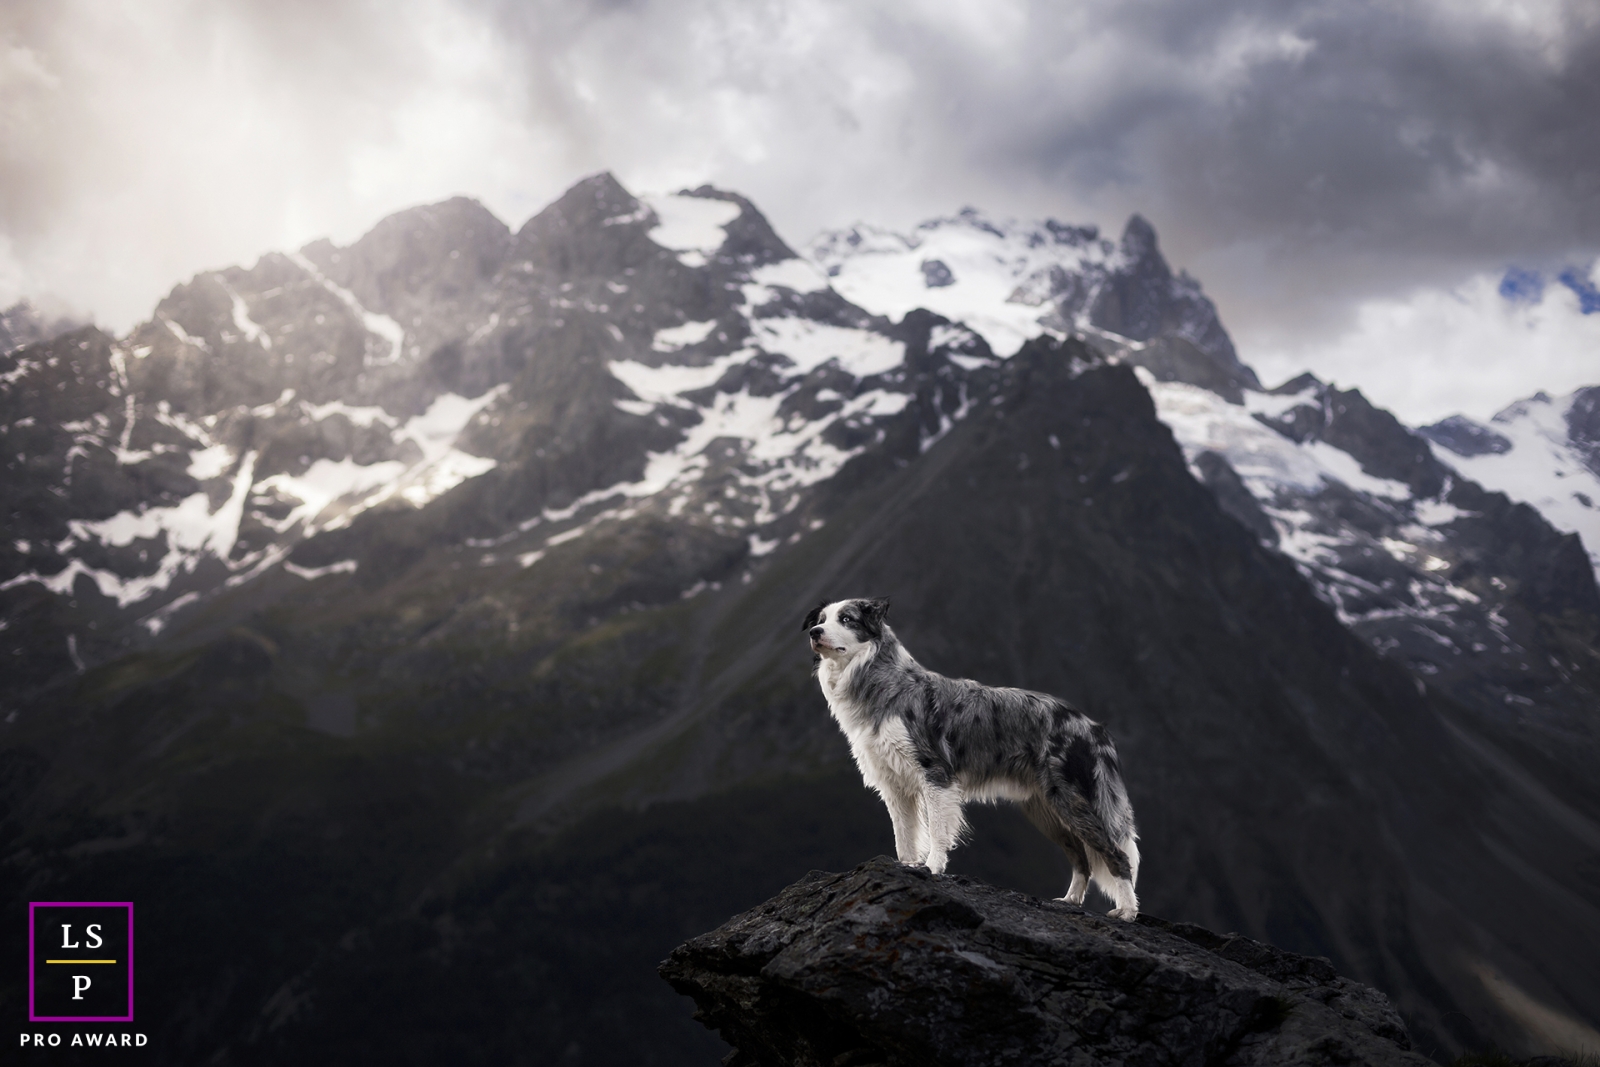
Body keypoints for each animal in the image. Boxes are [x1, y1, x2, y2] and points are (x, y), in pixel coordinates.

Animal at [812, 598, 1139, 921]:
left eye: (847, 619)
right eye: (821, 619)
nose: (815, 632)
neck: (883, 681)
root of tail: (1093, 728)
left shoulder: (935, 774)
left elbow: (937, 831)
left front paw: (931, 868)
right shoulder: (894, 783)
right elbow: (904, 834)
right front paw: (905, 866)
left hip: (1071, 799)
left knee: (1116, 854)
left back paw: (1126, 910)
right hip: (1046, 810)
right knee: (1081, 857)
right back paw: (1070, 900)